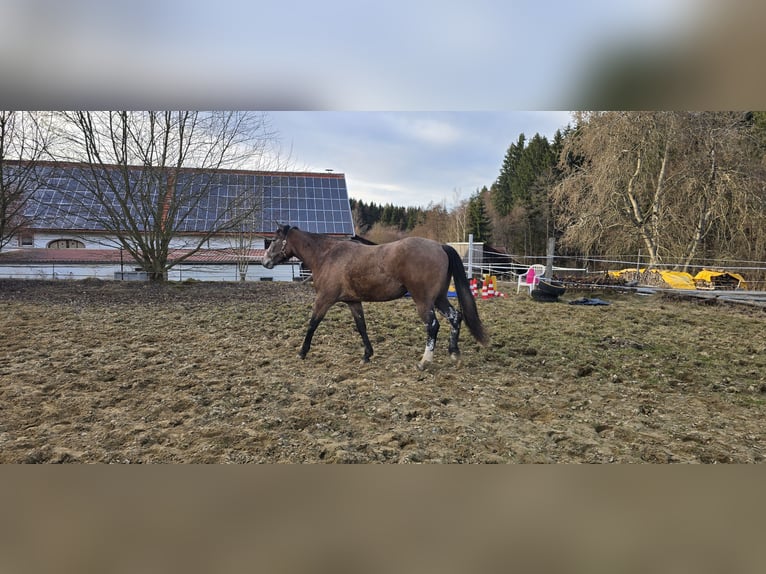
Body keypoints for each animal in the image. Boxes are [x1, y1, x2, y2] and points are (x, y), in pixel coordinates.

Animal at [262, 224, 488, 369]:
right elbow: (361, 326)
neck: (327, 255)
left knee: (433, 326)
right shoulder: (353, 302)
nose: (264, 261)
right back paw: (454, 354)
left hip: (424, 301)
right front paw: (367, 355)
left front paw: (302, 352)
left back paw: (425, 362)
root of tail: (440, 246)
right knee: (455, 317)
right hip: (439, 297)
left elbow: (312, 323)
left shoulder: (324, 299)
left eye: (273, 240)